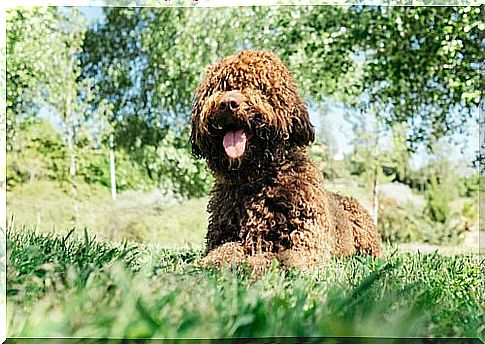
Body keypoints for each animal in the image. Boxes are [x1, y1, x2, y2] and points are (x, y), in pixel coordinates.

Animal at [190, 49, 382, 272]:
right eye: (221, 86)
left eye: (257, 85)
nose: (228, 104)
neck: (257, 179)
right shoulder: (222, 237)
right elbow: (224, 250)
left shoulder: (307, 246)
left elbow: (278, 257)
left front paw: (254, 264)